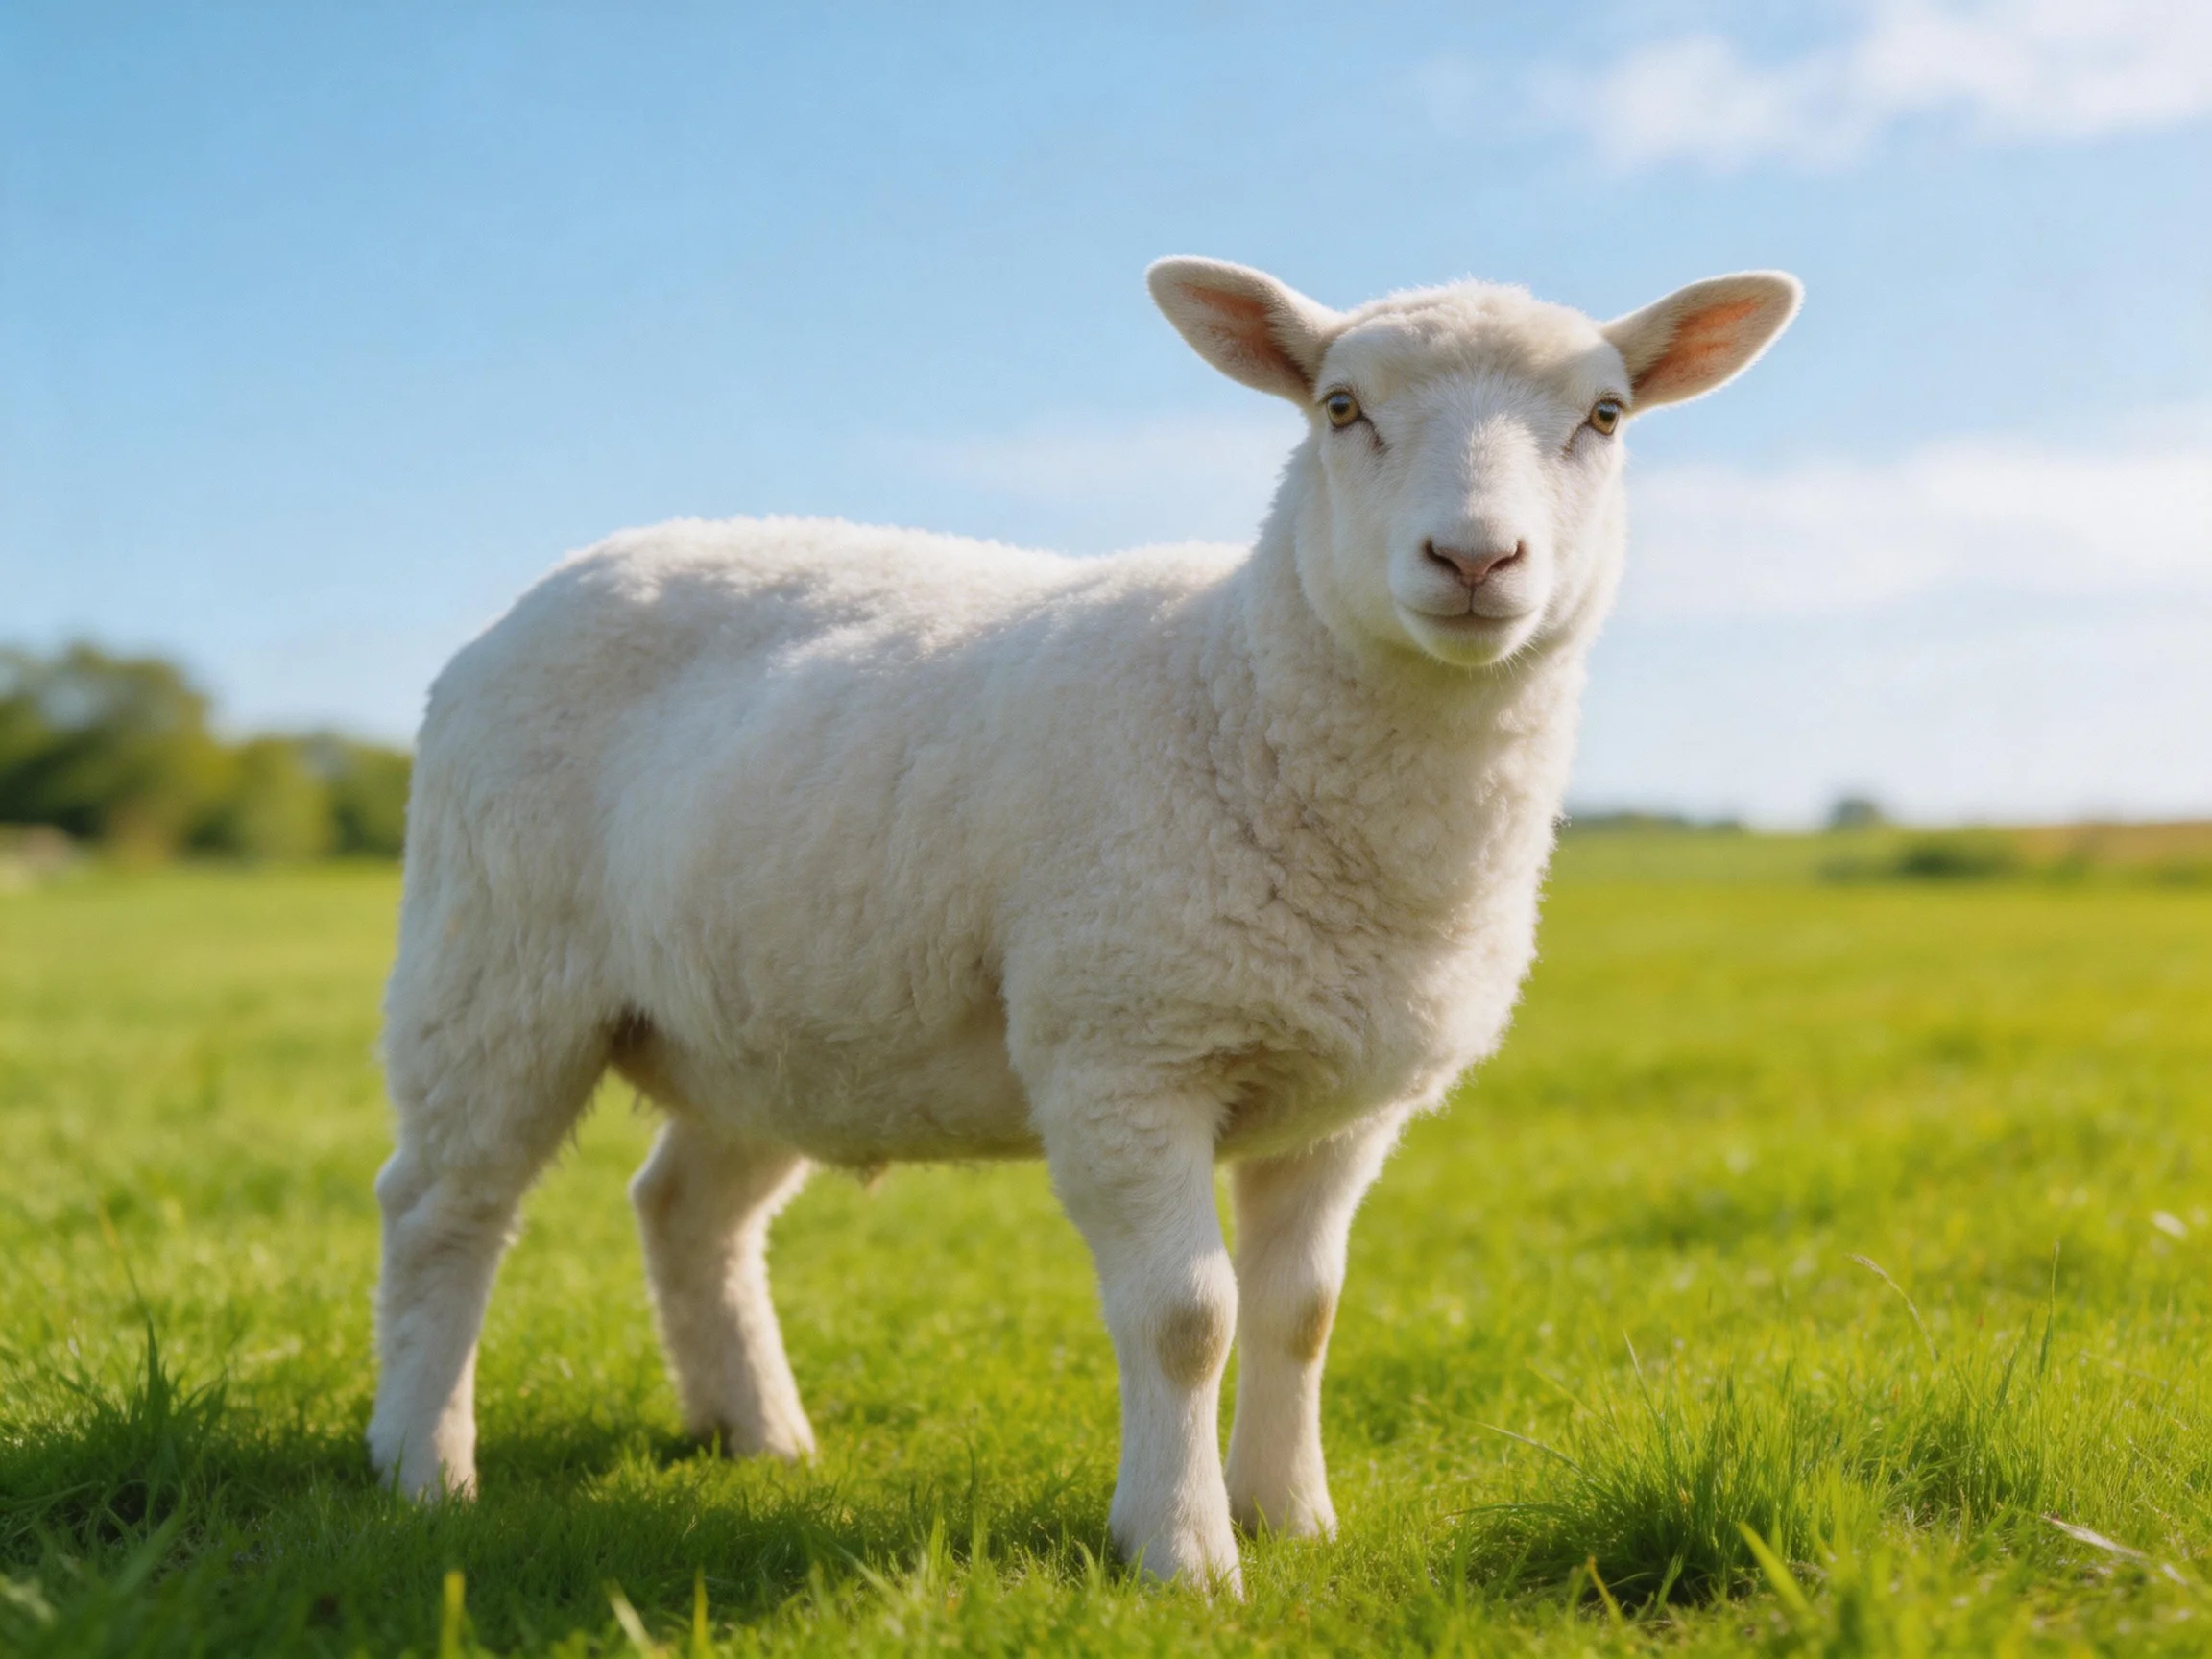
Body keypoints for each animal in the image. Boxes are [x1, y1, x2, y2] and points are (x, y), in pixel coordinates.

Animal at [368, 255, 1800, 1592]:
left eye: (1605, 416)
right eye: (1340, 408)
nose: (1474, 561)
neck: (1243, 691)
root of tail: (561, 581)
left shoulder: (1345, 1104)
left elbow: (1301, 1312)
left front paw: (1293, 1517)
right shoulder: (1125, 1052)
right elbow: (1187, 1318)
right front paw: (1184, 1553)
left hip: (762, 1021)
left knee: (685, 1211)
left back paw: (759, 1438)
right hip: (493, 964)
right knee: (442, 1207)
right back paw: (423, 1467)